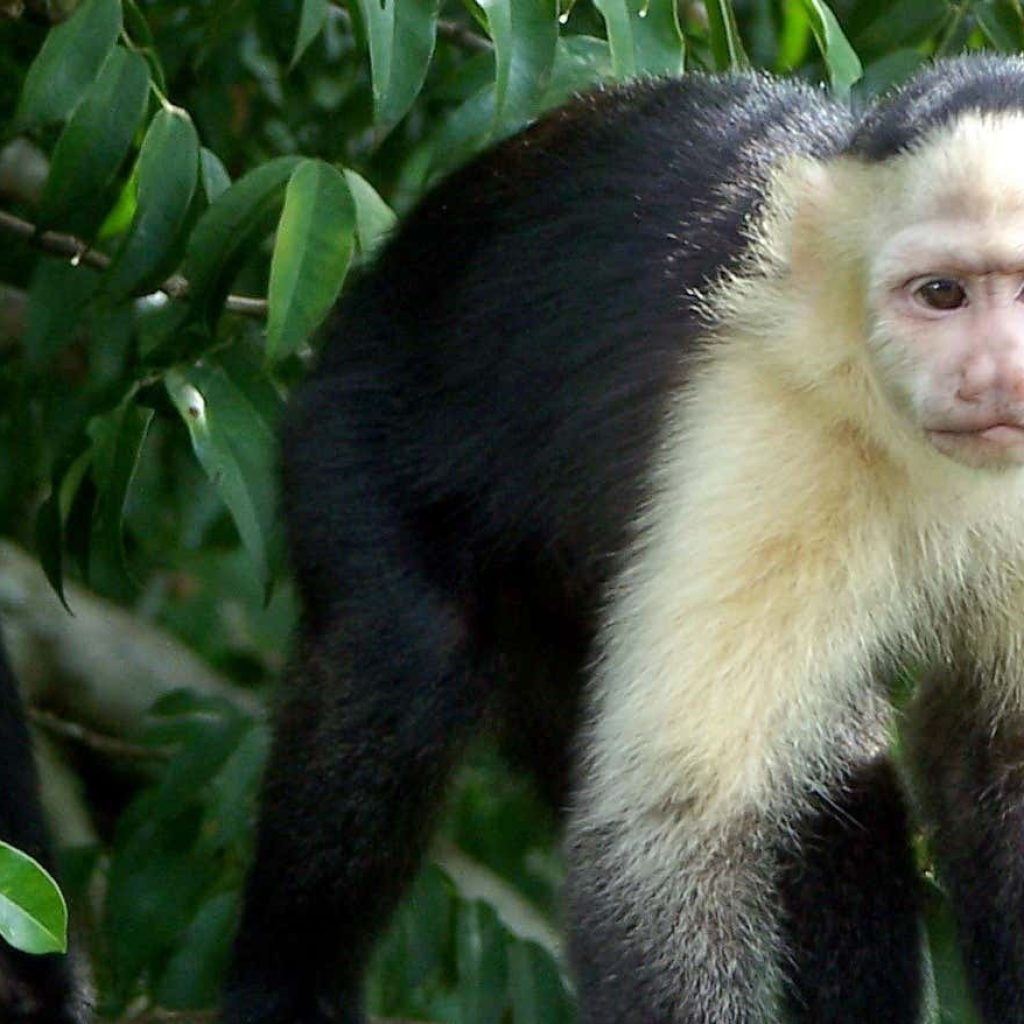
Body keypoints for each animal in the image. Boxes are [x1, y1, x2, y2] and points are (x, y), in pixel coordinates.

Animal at [222, 54, 1024, 1023]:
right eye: (941, 294)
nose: (993, 375)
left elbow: (994, 755)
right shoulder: (766, 417)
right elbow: (669, 831)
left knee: (833, 762)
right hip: (352, 429)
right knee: (407, 653)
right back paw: (282, 986)